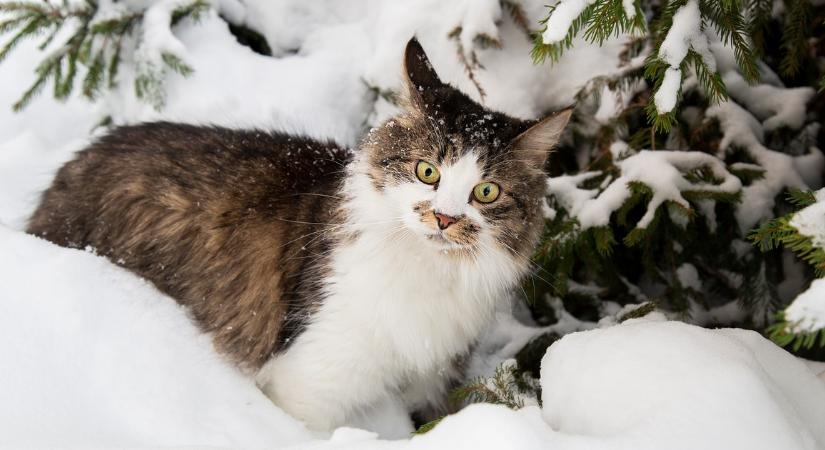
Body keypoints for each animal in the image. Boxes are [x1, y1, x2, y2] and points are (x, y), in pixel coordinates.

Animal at [25, 38, 568, 432]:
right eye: (427, 171)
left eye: (486, 191)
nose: (445, 219)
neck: (428, 274)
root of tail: (74, 164)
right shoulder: (309, 382)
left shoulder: (434, 380)